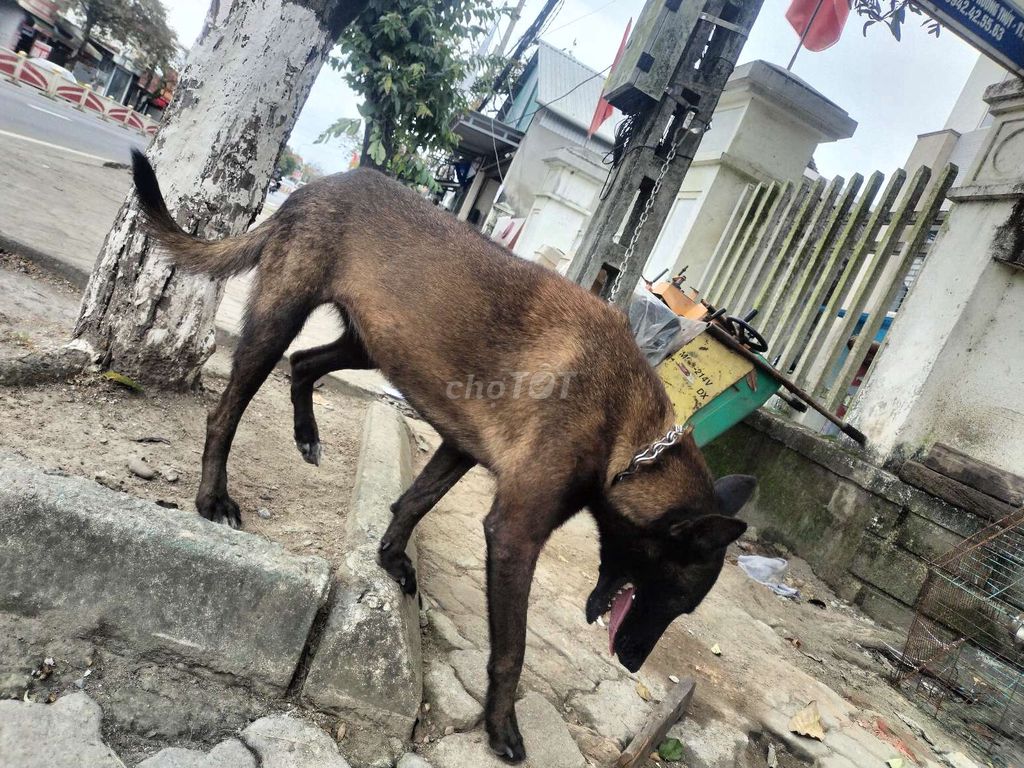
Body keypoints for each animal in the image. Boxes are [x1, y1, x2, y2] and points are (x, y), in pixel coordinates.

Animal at [130, 150, 753, 765]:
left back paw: (307, 434)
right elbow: (511, 651)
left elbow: (414, 502)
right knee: (227, 411)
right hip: (278, 323)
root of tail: (312, 189)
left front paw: (390, 557)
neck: (629, 436)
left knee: (304, 364)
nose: (631, 662)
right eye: (677, 598)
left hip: (368, 341)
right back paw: (214, 497)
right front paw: (501, 726)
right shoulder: (514, 537)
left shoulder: (459, 448)